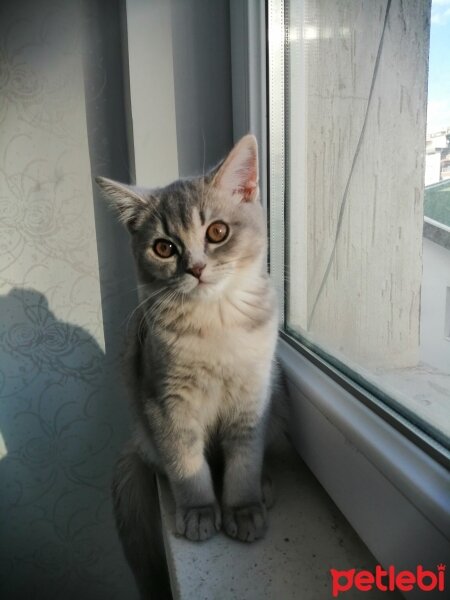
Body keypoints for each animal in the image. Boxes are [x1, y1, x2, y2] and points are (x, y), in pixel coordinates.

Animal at [96, 135, 278, 596]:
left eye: (217, 232)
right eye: (164, 247)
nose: (195, 268)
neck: (215, 325)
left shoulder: (253, 398)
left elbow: (244, 461)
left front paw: (243, 508)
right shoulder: (166, 404)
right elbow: (186, 464)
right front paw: (199, 512)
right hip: (144, 435)